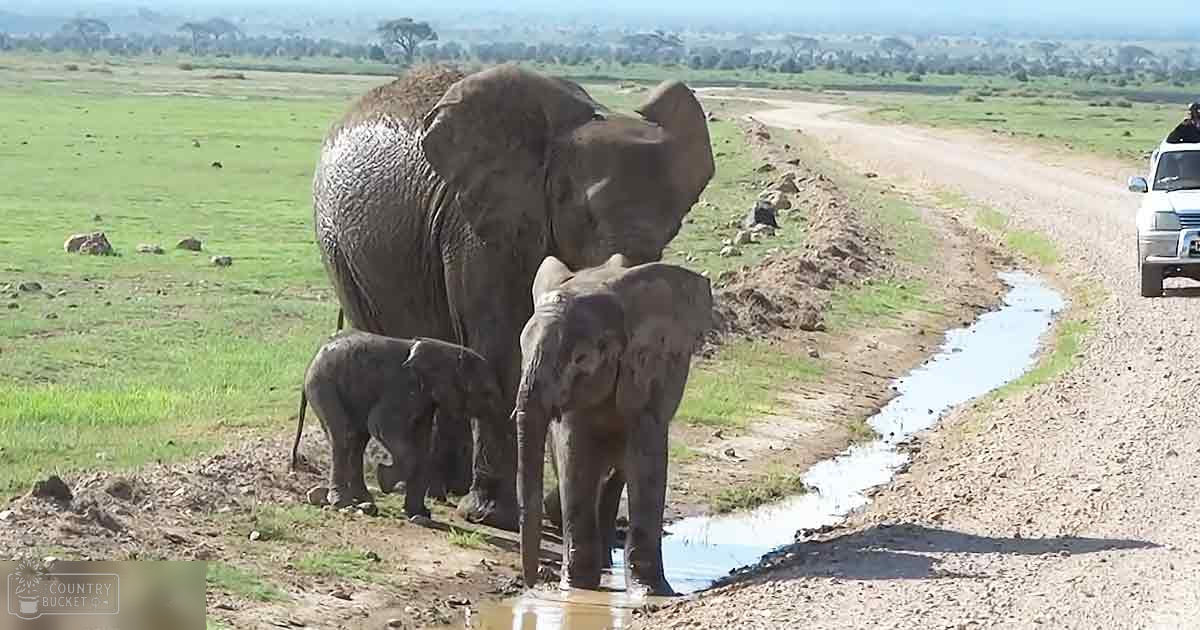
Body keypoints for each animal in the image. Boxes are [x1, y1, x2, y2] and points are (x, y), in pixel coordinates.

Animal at [292, 330, 504, 518]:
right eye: (487, 393)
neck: (445, 350)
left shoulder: (425, 400)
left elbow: (423, 446)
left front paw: (420, 513)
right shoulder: (402, 388)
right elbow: (381, 425)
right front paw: (384, 480)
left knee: (358, 440)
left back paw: (364, 501)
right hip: (323, 383)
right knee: (345, 436)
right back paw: (343, 503)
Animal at [515, 254, 713, 596]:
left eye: (581, 359)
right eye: (521, 348)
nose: (534, 580)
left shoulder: (650, 374)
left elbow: (646, 459)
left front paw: (649, 592)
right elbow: (574, 456)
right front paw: (577, 589)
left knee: (616, 471)